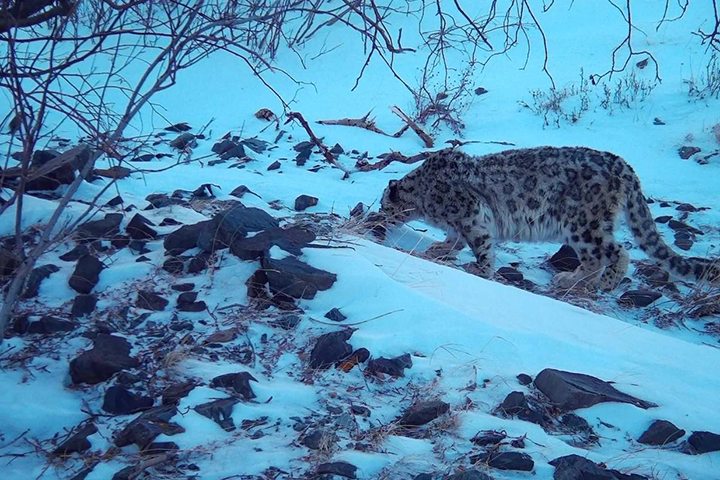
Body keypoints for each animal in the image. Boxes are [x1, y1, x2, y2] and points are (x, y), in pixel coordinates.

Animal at [380, 145, 716, 288]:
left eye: (383, 204)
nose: (378, 216)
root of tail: (624, 165)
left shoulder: (472, 215)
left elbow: (480, 245)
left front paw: (481, 270)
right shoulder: (460, 223)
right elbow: (455, 239)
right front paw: (438, 249)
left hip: (582, 223)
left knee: (612, 253)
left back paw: (592, 282)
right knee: (603, 254)